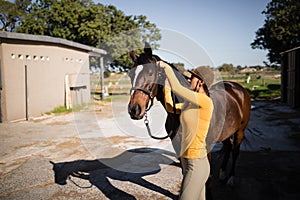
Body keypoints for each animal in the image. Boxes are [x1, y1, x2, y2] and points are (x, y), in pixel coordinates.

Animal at [126, 43, 251, 186]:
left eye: (150, 72)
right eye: (130, 75)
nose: (134, 109)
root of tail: (239, 89)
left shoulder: (206, 147)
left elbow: (207, 177)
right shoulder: (177, 145)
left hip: (240, 131)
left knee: (235, 152)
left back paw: (230, 178)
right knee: (228, 147)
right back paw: (223, 173)